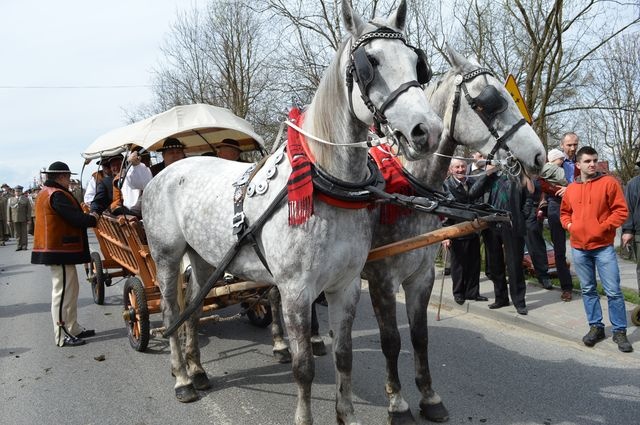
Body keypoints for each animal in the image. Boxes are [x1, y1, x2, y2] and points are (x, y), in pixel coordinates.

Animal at [141, 1, 442, 422]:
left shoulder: (346, 285)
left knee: (195, 312)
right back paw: (183, 379)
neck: (327, 185)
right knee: (172, 315)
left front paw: (347, 414)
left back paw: (198, 371)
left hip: (203, 259)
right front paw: (305, 414)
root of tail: (166, 172)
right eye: (371, 63)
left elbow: (344, 356)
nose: (426, 131)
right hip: (167, 257)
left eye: (417, 63)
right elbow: (304, 367)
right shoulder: (297, 292)